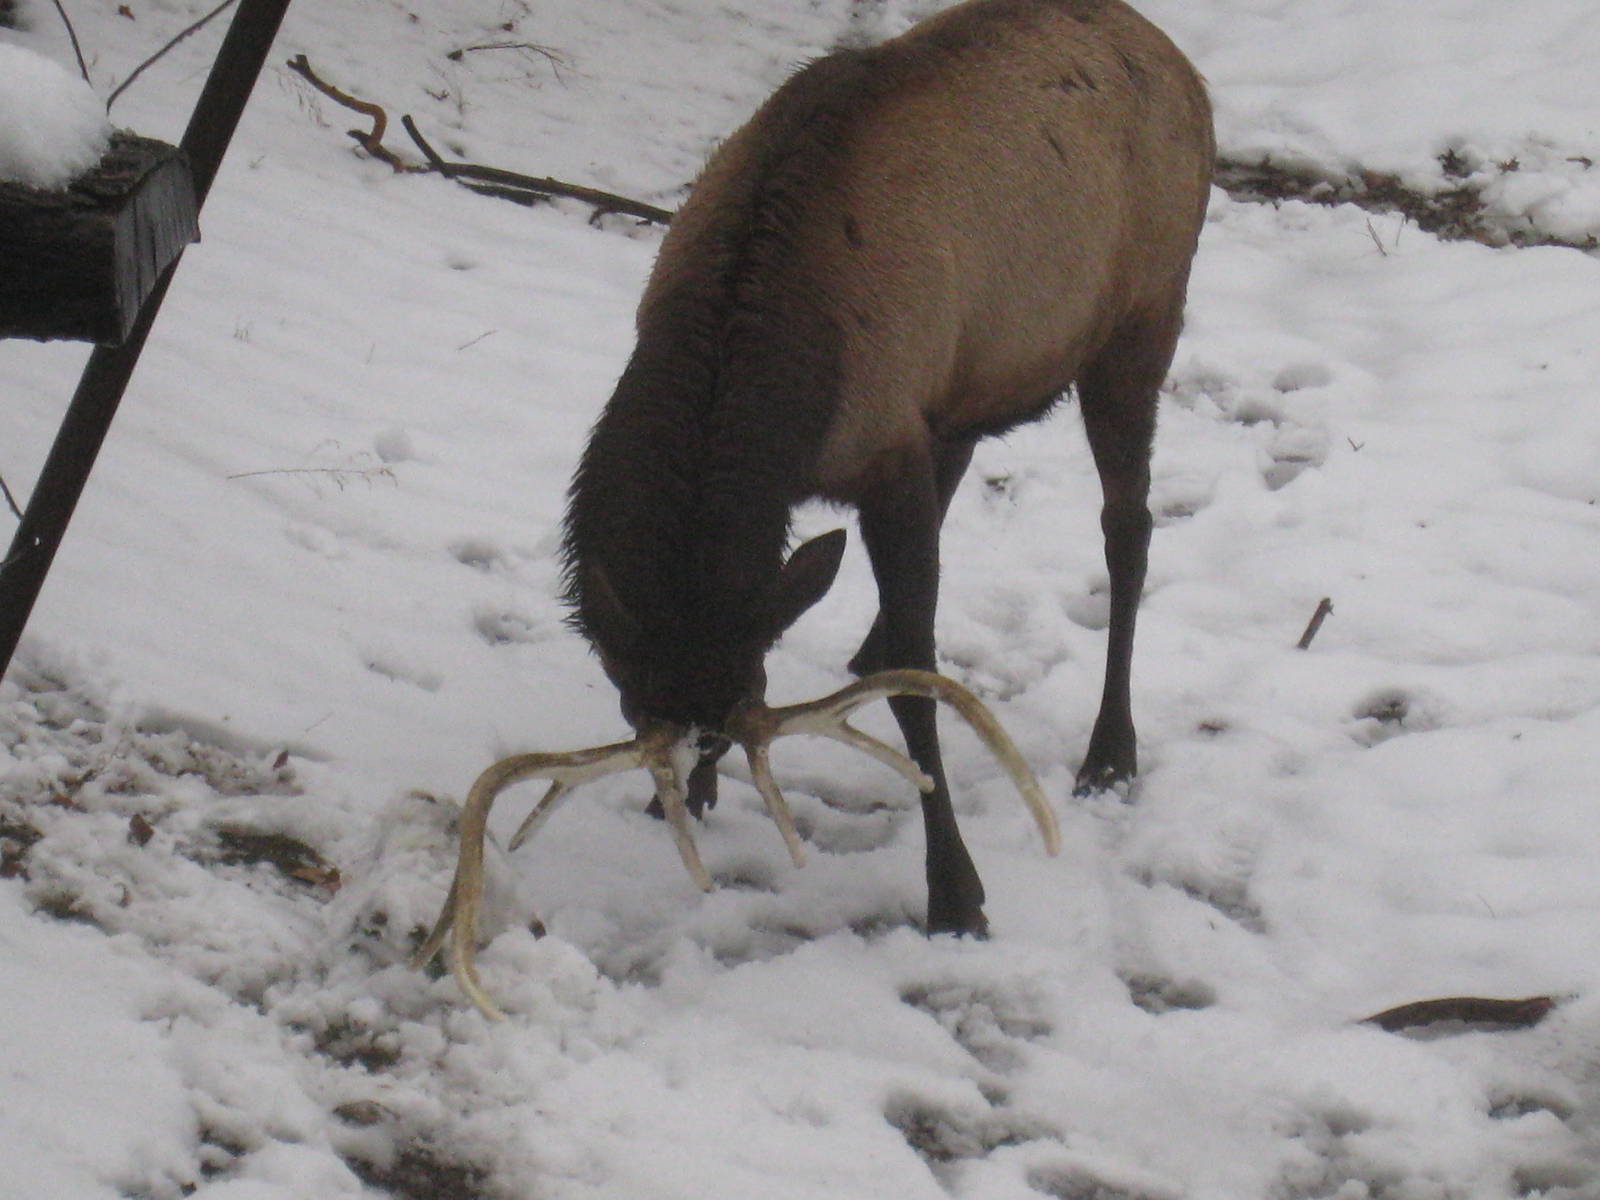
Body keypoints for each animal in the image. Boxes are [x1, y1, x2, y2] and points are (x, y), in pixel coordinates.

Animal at [415, 0, 1214, 1018]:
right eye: (638, 700)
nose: (697, 758)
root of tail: (1180, 63)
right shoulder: (894, 434)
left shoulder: (890, 450)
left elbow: (920, 683)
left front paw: (956, 894)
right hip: (966, 387)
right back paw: (874, 649)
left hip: (1142, 321)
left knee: (1128, 527)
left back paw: (1110, 755)